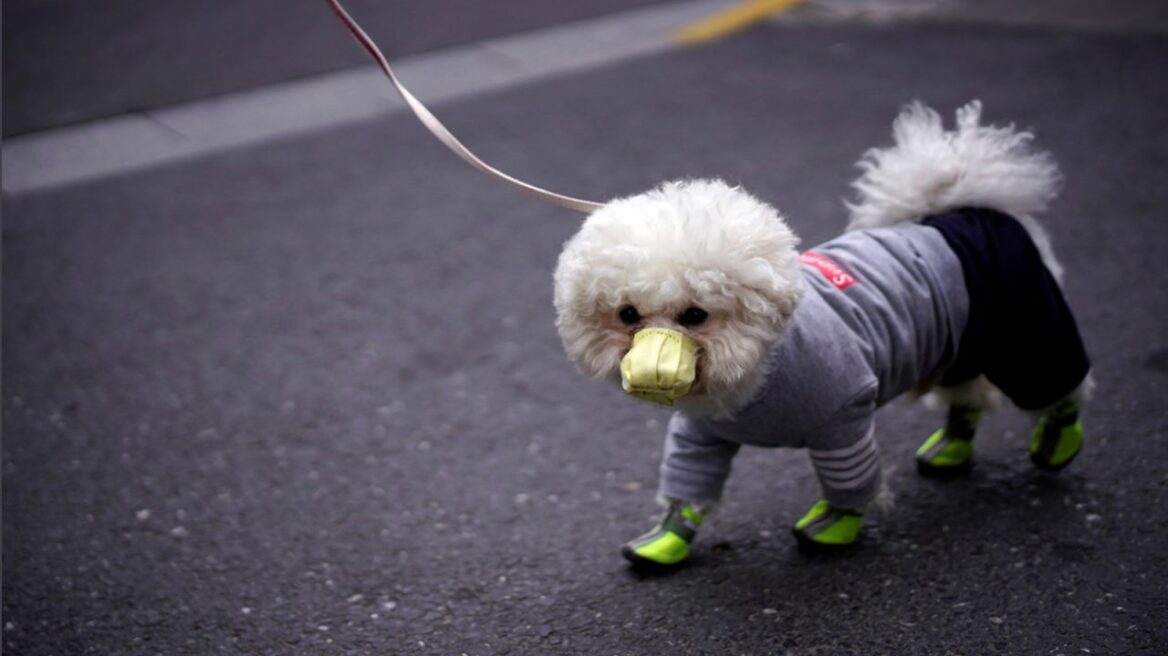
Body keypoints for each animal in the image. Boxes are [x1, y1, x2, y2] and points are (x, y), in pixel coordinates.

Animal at [551, 99, 1088, 564]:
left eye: (695, 315)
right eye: (627, 314)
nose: (650, 373)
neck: (756, 377)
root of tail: (962, 210)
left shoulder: (843, 420)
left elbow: (849, 485)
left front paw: (834, 528)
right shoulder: (699, 432)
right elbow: (687, 486)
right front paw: (666, 540)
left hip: (1025, 328)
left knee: (1057, 386)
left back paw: (1057, 441)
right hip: (961, 342)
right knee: (966, 395)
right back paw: (952, 448)